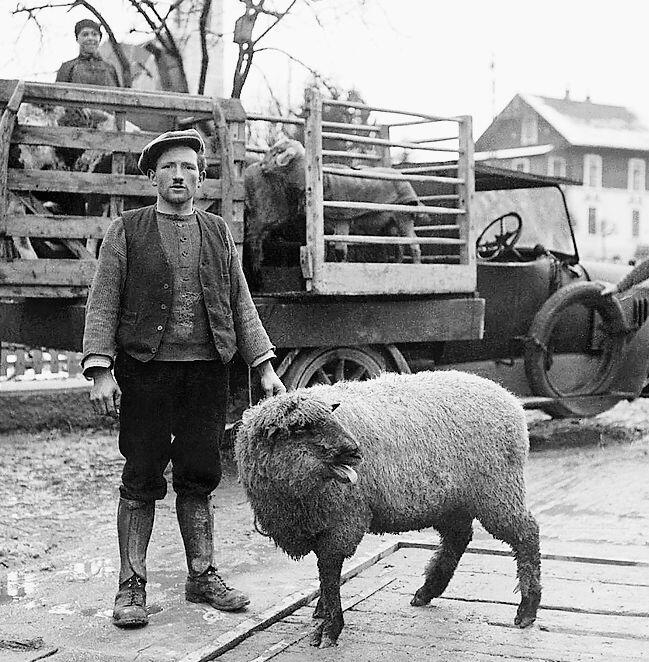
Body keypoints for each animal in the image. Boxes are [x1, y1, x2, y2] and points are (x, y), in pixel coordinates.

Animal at [235, 370, 540, 652]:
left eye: (330, 418)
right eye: (301, 428)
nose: (356, 451)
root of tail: (508, 397)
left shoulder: (345, 518)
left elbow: (329, 569)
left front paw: (330, 627)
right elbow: (325, 573)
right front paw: (323, 610)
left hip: (497, 489)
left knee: (526, 534)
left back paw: (527, 609)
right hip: (451, 500)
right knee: (458, 538)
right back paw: (427, 591)